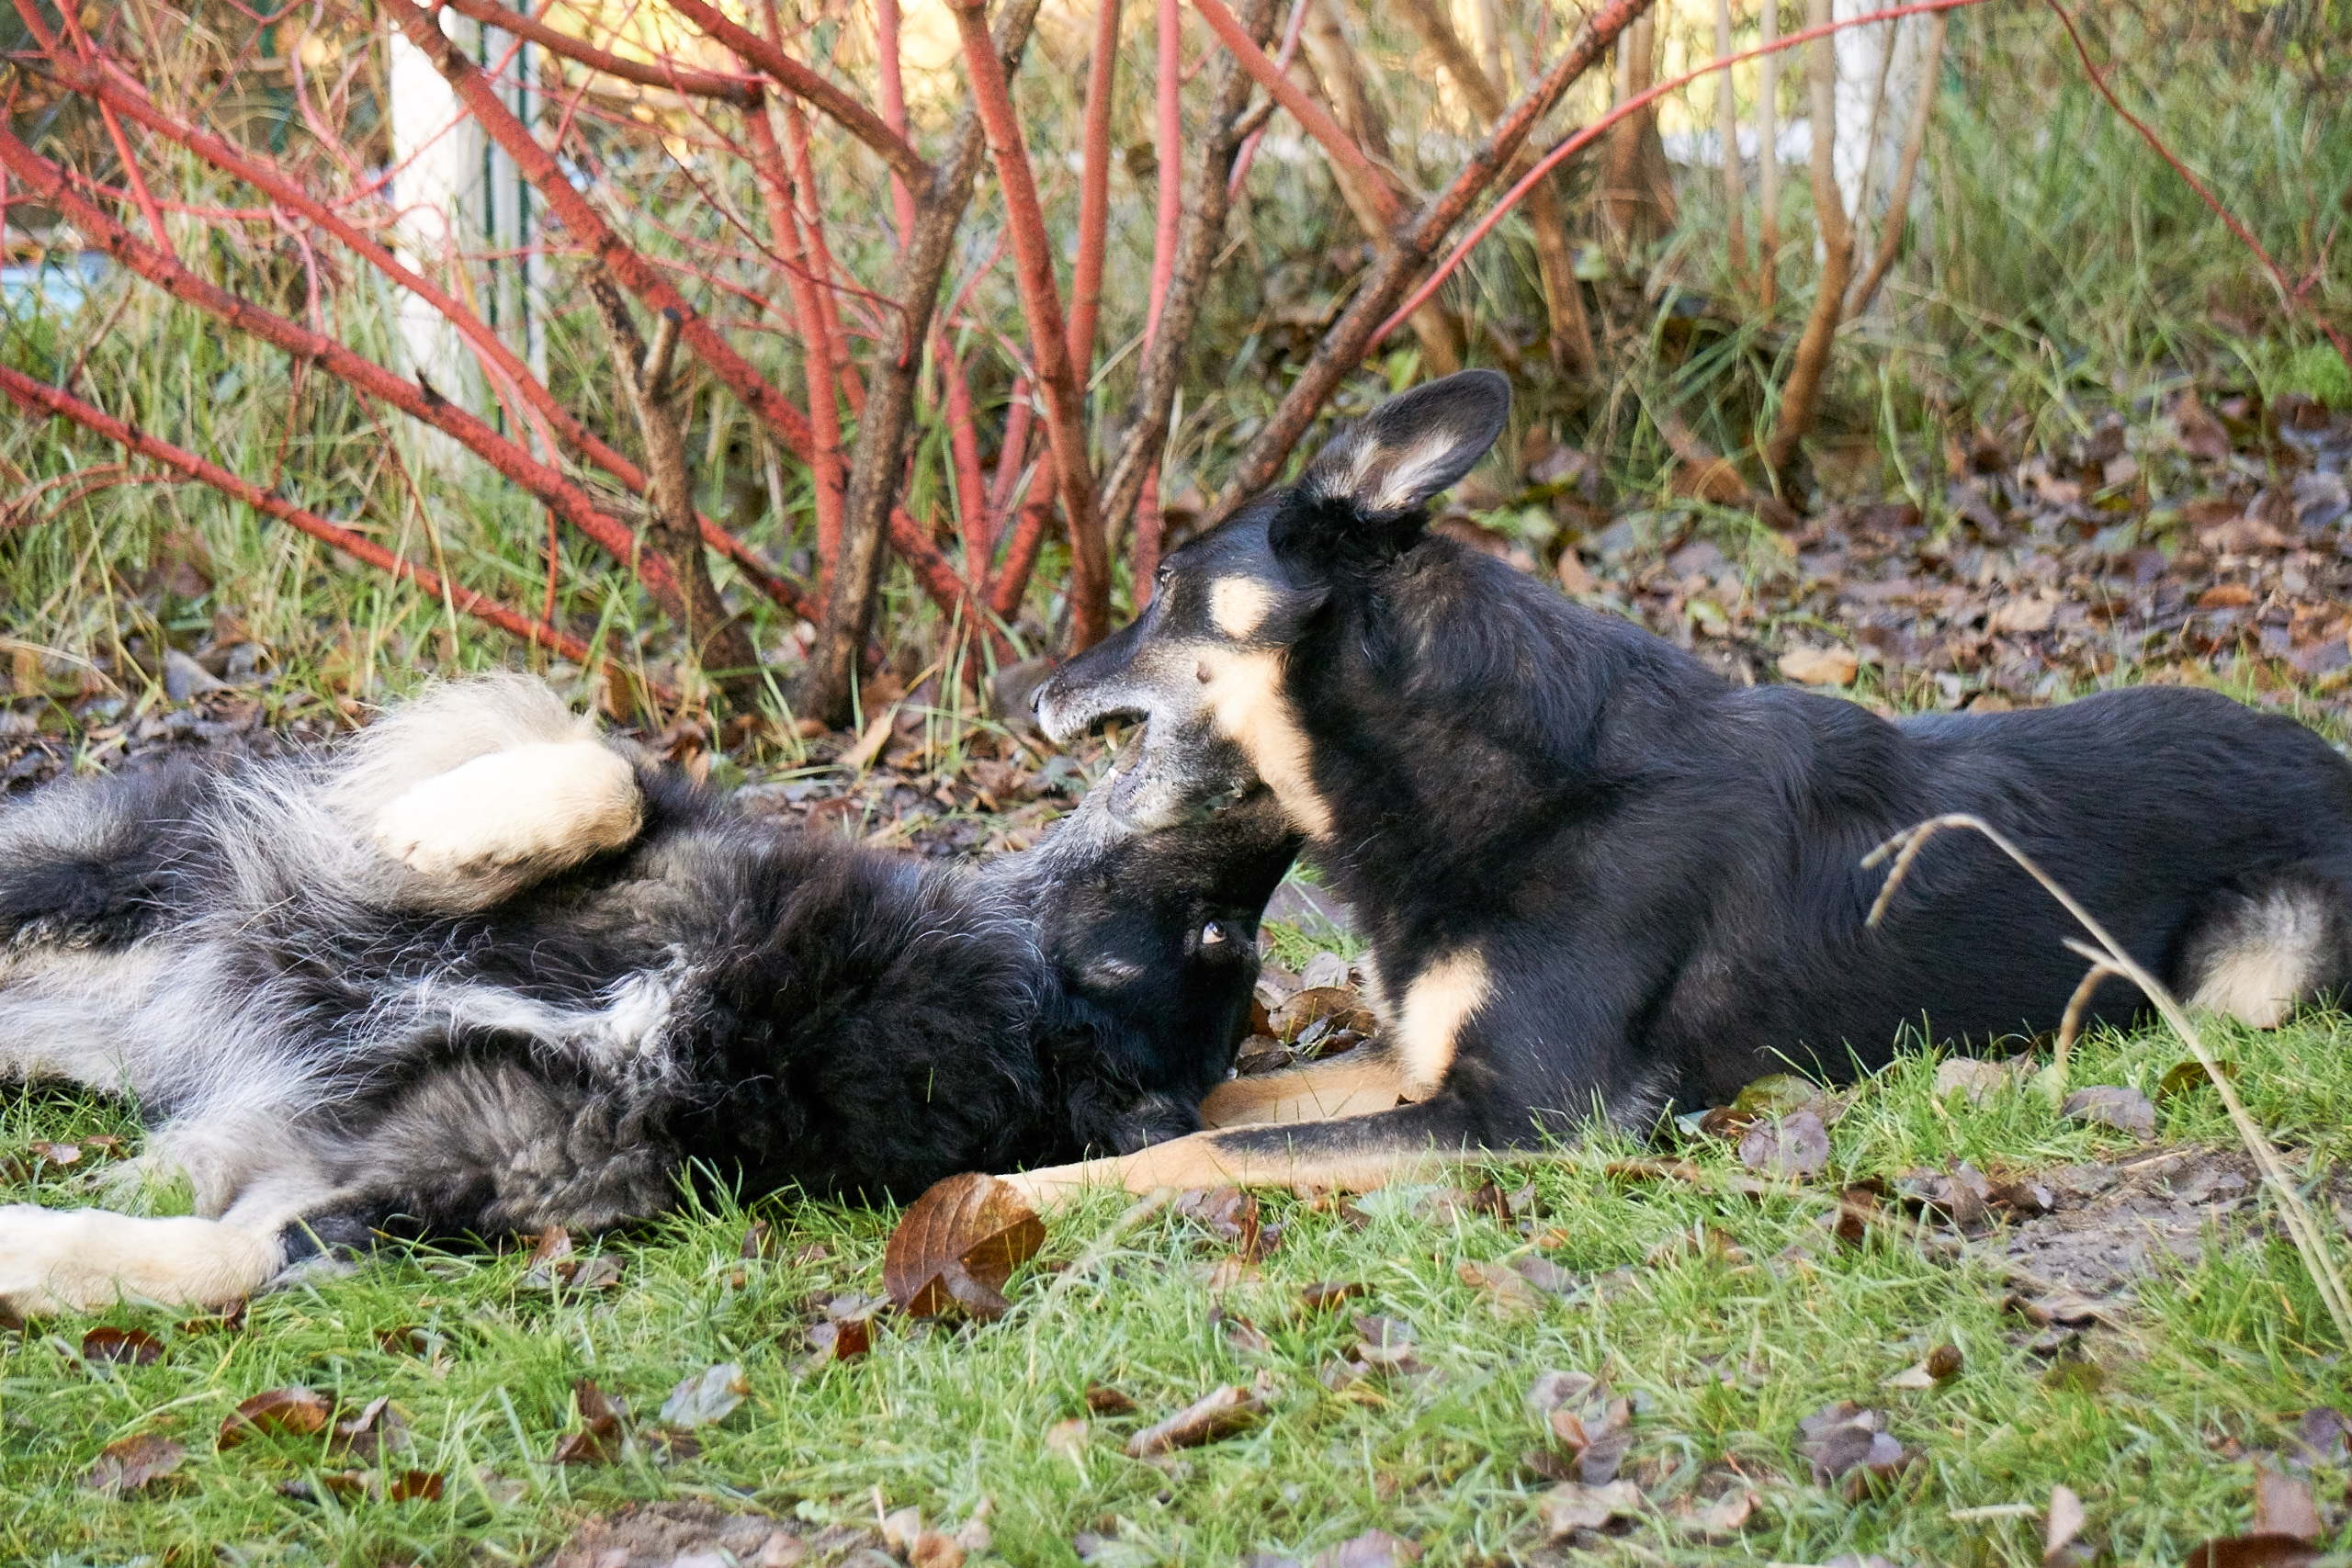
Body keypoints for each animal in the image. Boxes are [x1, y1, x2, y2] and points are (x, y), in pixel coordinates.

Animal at [0, 677, 1298, 1314]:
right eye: (1226, 933)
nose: (1294, 797)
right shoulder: (672, 839)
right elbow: (603, 778)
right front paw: (431, 832)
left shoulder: (401, 1174)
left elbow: (233, 1255)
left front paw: (29, 1257)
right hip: (88, 873)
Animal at [1005, 369, 2352, 1201]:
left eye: (1168, 582)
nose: (1036, 690)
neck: (1506, 773)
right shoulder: (1428, 1068)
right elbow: (1244, 1098)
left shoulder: (1522, 1114)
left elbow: (1199, 1159)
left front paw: (1021, 1190)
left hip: (2260, 963)